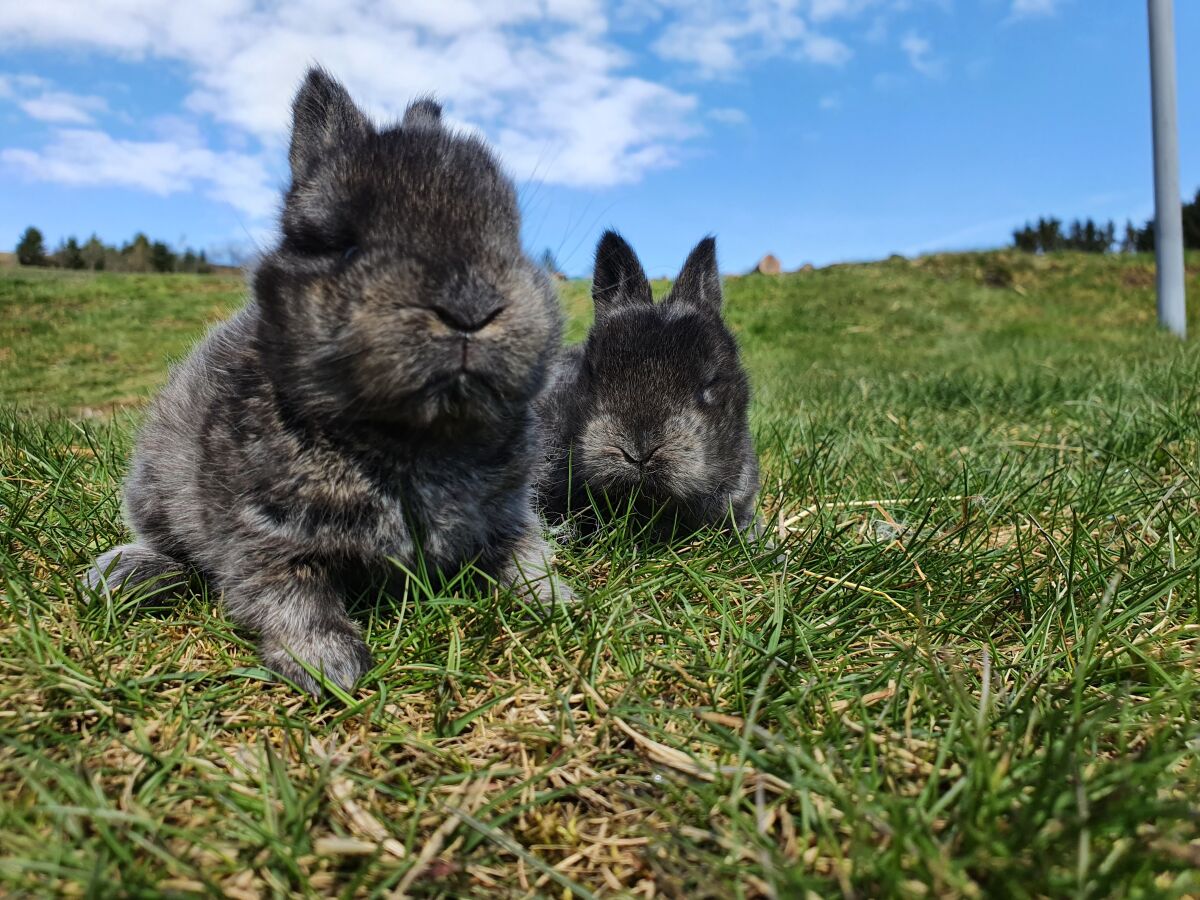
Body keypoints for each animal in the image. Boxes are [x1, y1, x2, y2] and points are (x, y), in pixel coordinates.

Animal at [85, 66, 571, 696]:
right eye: (340, 243)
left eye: (512, 236)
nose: (470, 307)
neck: (411, 437)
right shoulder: (263, 535)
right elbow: (288, 596)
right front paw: (330, 669)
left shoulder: (508, 514)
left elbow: (524, 557)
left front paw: (554, 604)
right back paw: (126, 575)